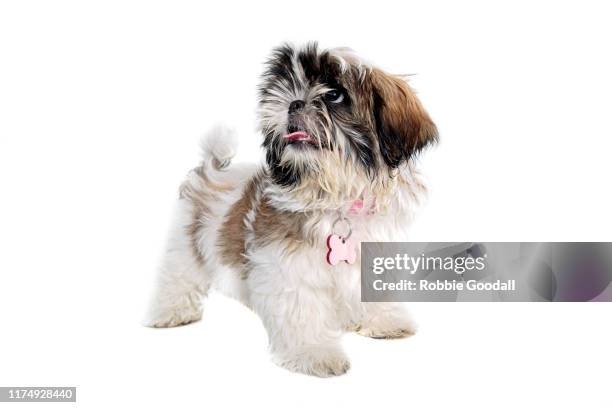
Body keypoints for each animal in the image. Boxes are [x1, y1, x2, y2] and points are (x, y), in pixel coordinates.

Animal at [146, 43, 438, 378]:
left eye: (334, 94)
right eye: (287, 86)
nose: (293, 102)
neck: (334, 195)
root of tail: (211, 168)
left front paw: (385, 320)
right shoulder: (287, 267)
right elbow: (301, 308)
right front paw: (314, 352)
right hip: (185, 239)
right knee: (178, 275)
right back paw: (170, 311)